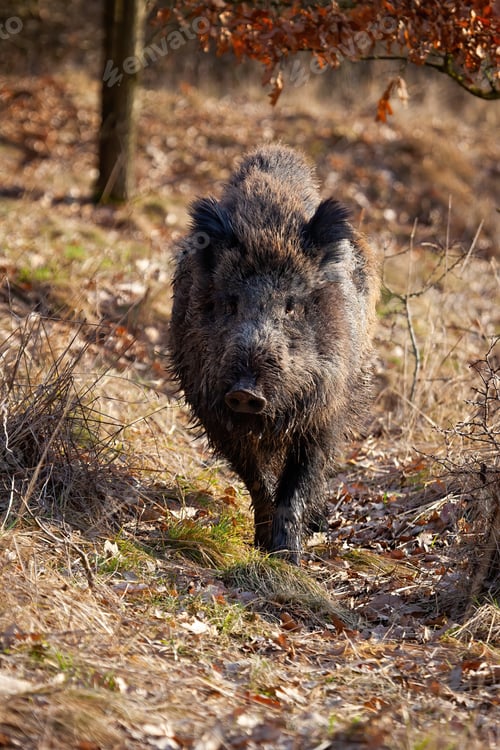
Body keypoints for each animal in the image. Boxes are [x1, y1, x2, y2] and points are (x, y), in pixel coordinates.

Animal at [169, 145, 379, 563]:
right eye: (230, 303)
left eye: (291, 305)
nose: (245, 392)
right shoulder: (213, 410)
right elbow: (254, 477)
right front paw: (264, 546)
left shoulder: (326, 411)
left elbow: (302, 478)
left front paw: (288, 557)